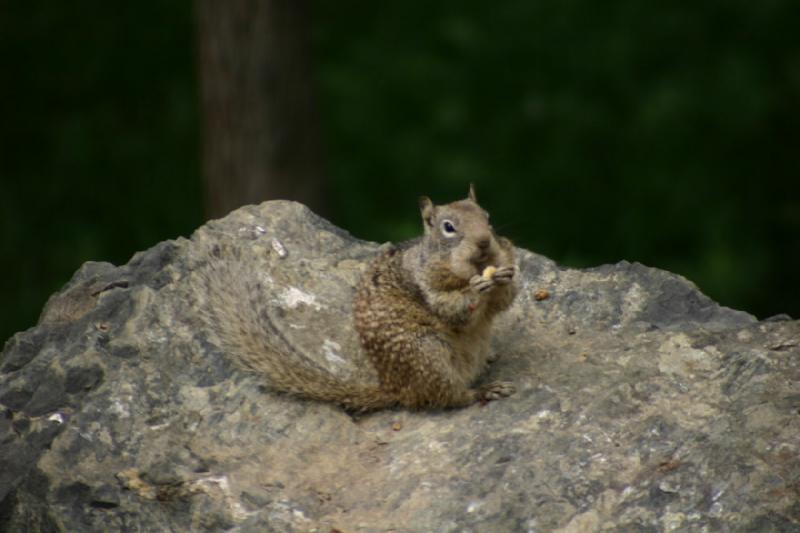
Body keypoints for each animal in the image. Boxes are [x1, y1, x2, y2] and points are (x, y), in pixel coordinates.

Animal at [197, 186, 516, 412]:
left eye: (487, 218)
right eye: (448, 227)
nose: (484, 242)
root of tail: (395, 388)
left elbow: (504, 301)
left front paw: (506, 274)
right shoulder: (427, 287)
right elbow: (453, 309)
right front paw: (476, 287)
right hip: (430, 355)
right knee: (449, 397)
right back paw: (482, 391)